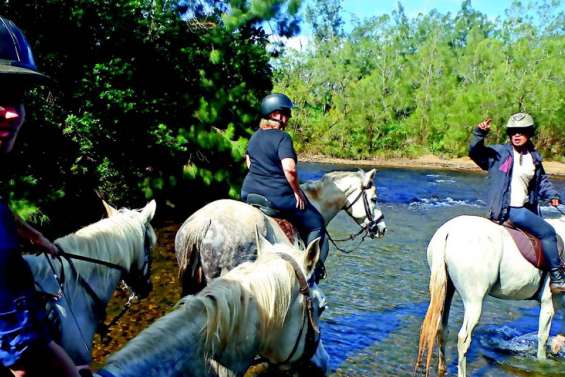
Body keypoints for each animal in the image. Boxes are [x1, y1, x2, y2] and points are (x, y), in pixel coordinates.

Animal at [414, 214, 564, 376]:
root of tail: (447, 232)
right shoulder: (550, 302)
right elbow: (543, 338)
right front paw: (543, 364)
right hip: (474, 301)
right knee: (463, 339)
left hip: (447, 291)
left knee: (441, 329)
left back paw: (443, 368)